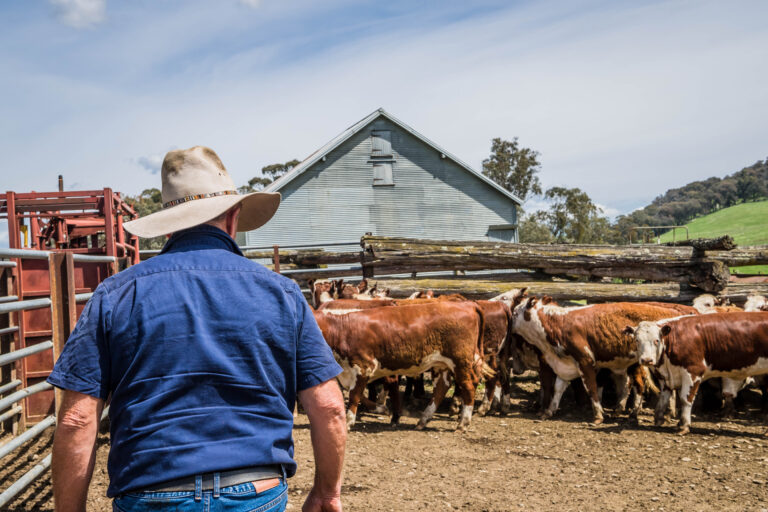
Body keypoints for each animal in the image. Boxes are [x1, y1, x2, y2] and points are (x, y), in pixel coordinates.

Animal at [314, 302, 486, 430]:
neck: (342, 330)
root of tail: (468, 304)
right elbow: (355, 392)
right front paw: (380, 408)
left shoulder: (363, 366)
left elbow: (354, 395)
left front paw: (349, 422)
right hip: (442, 364)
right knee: (442, 387)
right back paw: (423, 420)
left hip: (460, 361)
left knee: (469, 385)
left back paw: (463, 422)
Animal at [512, 296, 700, 424]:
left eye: (515, 312)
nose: (509, 322)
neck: (560, 324)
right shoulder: (565, 364)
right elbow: (558, 389)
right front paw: (549, 411)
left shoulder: (586, 362)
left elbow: (591, 388)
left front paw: (598, 415)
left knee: (642, 385)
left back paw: (637, 412)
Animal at [632, 310, 768, 434]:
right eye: (637, 340)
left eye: (656, 340)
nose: (647, 360)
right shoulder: (665, 377)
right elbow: (664, 397)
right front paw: (659, 419)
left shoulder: (693, 371)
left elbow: (685, 399)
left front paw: (684, 426)